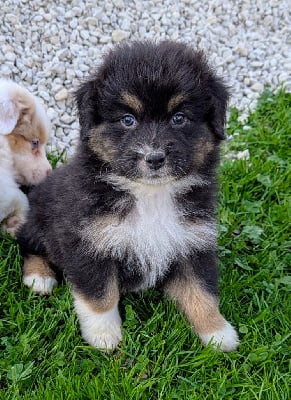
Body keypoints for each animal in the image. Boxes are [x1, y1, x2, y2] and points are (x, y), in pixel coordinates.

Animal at [16, 42, 240, 352]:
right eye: (127, 120)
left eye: (179, 118)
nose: (154, 157)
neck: (150, 194)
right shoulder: (88, 242)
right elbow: (99, 294)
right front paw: (103, 336)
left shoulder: (192, 241)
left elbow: (202, 292)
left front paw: (217, 333)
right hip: (41, 218)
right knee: (27, 242)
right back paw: (40, 276)